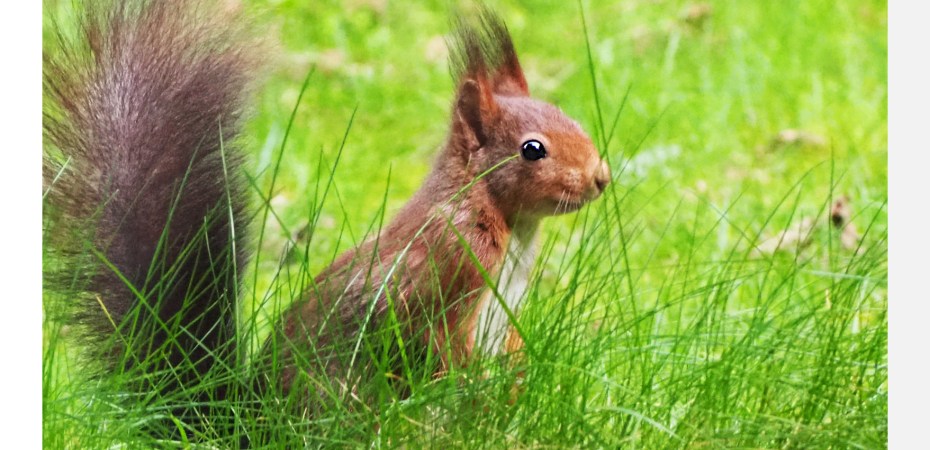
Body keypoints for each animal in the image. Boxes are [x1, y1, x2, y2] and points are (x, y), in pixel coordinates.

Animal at [44, 0, 610, 432]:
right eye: (532, 149)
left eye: (568, 114)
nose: (601, 177)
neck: (502, 219)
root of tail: (249, 427)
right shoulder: (445, 264)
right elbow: (435, 340)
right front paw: (477, 385)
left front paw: (514, 381)